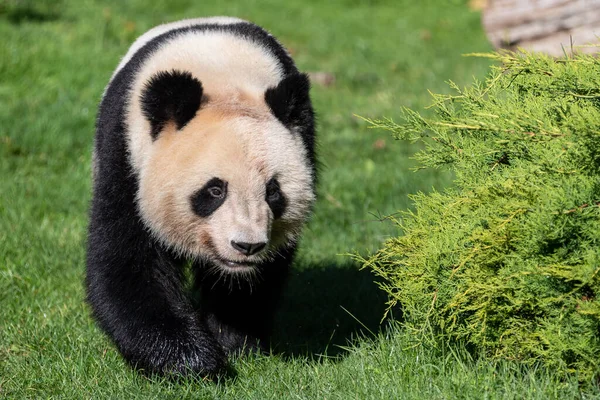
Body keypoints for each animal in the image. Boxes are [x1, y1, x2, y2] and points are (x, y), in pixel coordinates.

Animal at [86, 17, 316, 376]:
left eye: (273, 191)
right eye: (215, 190)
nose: (247, 246)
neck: (222, 78)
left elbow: (254, 283)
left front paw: (233, 341)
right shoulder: (126, 159)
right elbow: (127, 261)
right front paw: (193, 361)